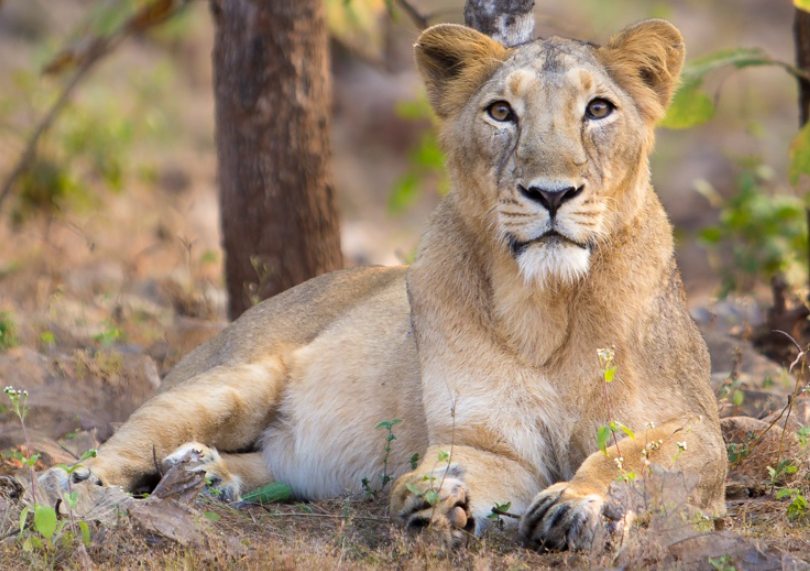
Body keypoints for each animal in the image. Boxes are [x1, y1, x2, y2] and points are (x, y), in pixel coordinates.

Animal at [45, 19, 726, 551]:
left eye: (598, 109)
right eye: (501, 112)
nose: (551, 193)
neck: (548, 304)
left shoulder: (699, 430)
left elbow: (631, 454)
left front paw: (573, 502)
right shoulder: (482, 440)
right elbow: (463, 466)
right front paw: (433, 497)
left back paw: (204, 474)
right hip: (232, 380)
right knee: (125, 442)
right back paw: (78, 486)